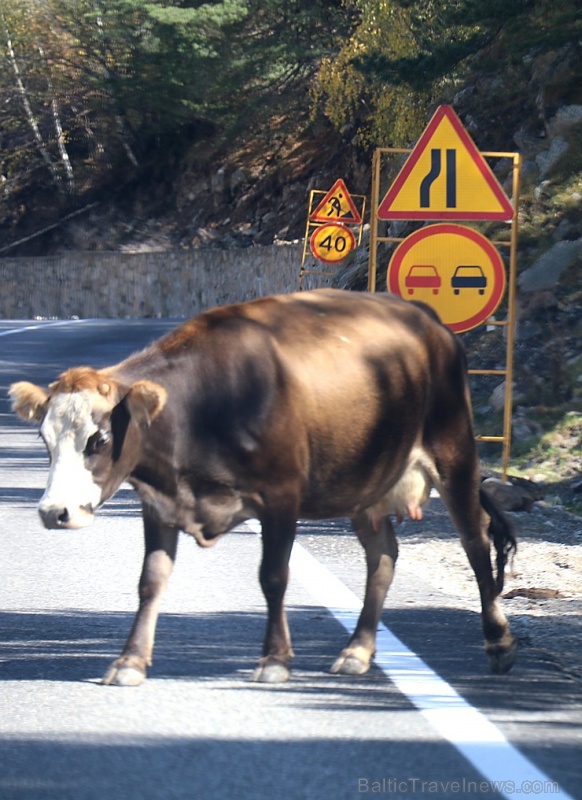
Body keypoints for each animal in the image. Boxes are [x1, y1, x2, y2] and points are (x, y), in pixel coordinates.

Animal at [9, 290, 516, 684]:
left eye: (100, 438)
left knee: (475, 540)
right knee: (383, 555)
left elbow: (273, 576)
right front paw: (129, 662)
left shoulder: (281, 496)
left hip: (453, 450)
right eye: (45, 439)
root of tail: (427, 319)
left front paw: (274, 660)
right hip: (367, 480)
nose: (54, 512)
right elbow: (150, 581)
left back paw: (498, 641)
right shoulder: (159, 504)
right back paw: (357, 650)